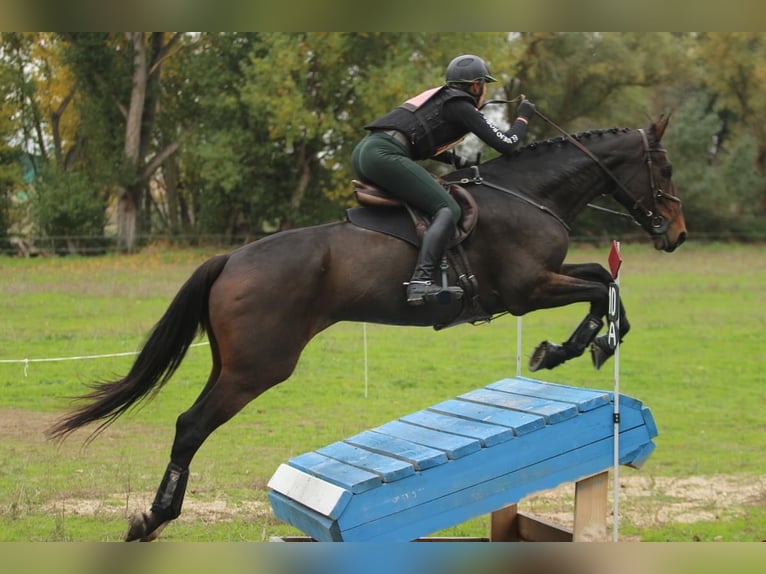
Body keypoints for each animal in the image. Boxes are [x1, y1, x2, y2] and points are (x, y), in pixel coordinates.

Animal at [48, 115, 688, 544]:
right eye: (664, 168)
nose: (677, 235)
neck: (530, 194)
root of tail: (230, 259)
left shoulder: (545, 279)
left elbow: (605, 280)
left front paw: (574, 346)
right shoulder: (527, 289)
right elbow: (603, 289)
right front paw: (578, 346)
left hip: (233, 363)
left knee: (191, 422)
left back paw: (153, 516)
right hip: (258, 368)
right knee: (191, 426)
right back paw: (152, 519)